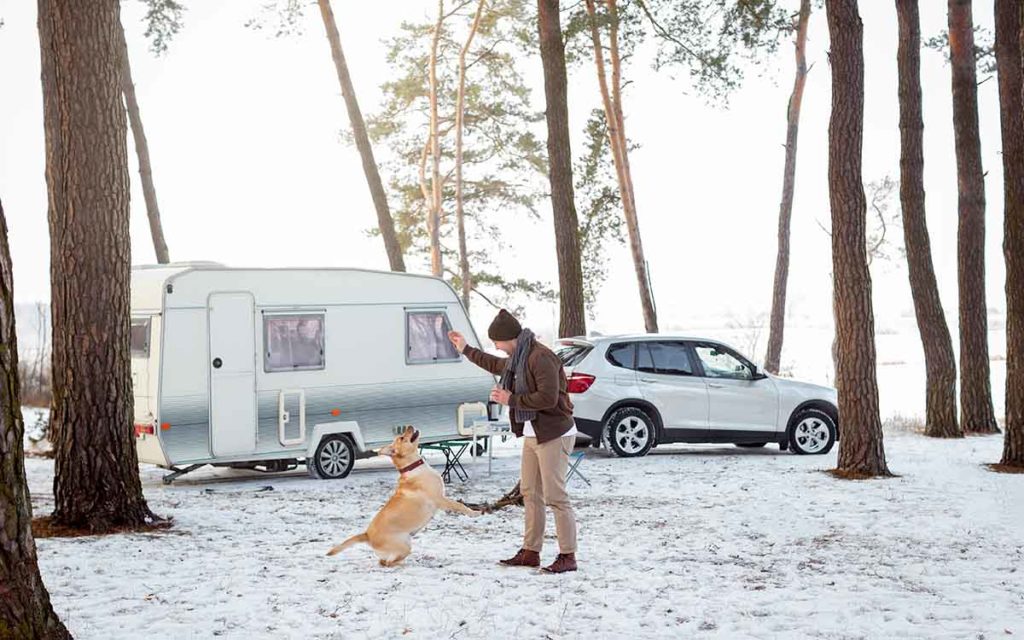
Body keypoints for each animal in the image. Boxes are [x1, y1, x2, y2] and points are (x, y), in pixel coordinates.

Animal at [327, 423, 479, 565]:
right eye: (401, 437)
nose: (409, 426)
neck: (413, 467)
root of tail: (367, 535)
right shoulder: (440, 499)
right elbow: (460, 505)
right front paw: (475, 513)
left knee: (383, 561)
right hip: (404, 546)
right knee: (389, 563)